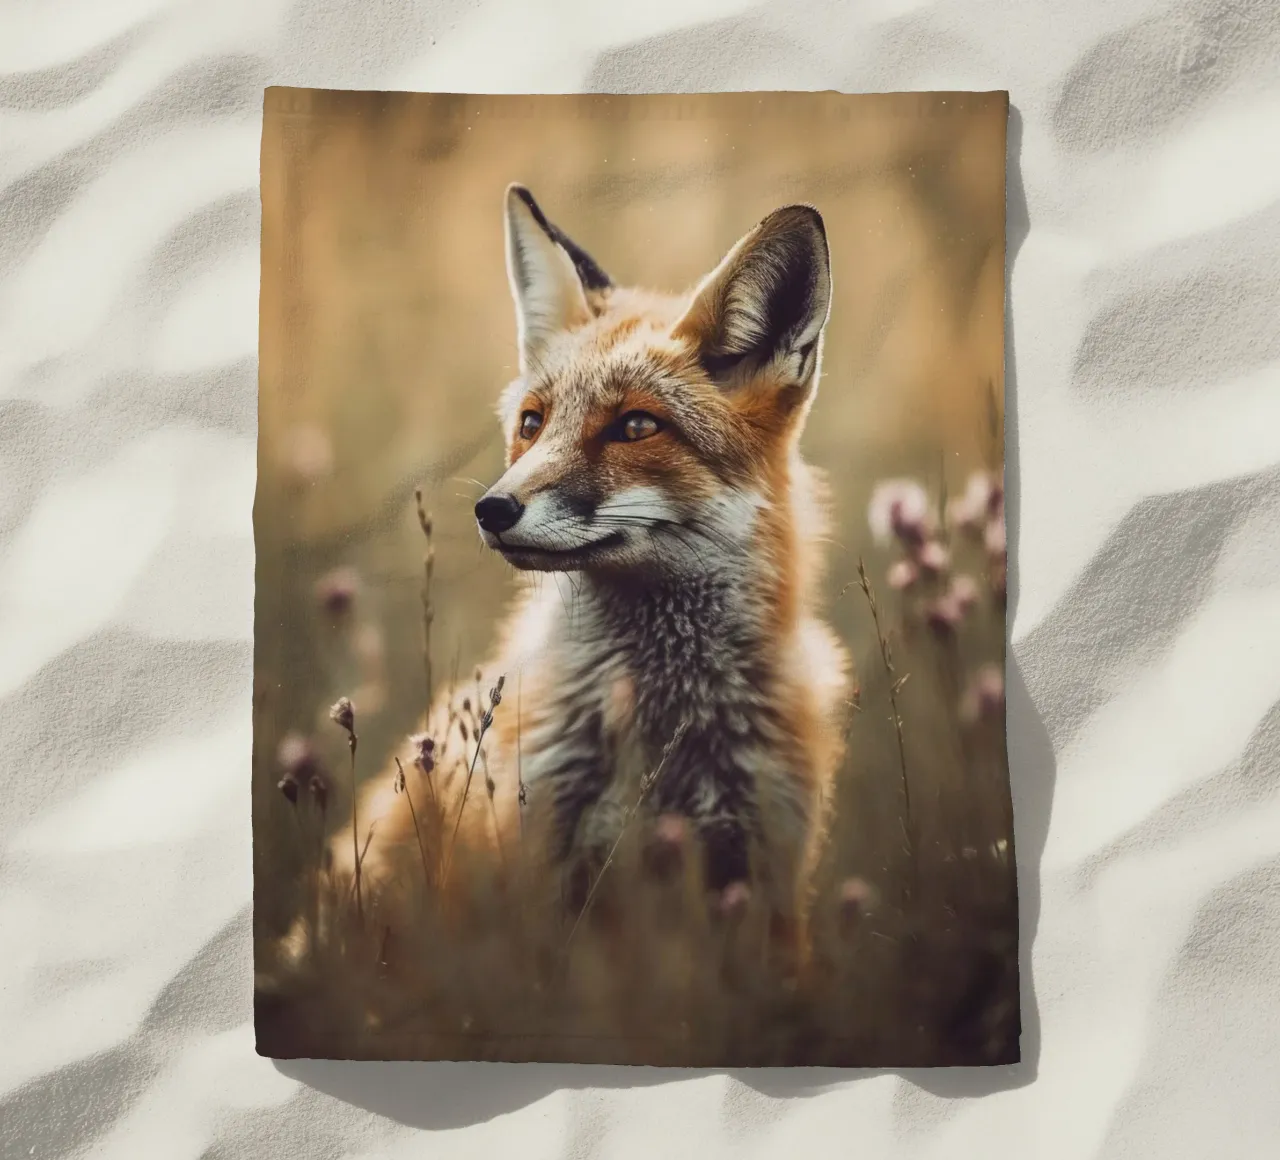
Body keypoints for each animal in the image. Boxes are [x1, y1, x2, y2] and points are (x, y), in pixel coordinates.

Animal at [319, 183, 851, 970]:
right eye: (532, 423)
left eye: (636, 427)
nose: (492, 509)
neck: (664, 735)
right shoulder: (536, 868)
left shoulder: (765, 877)